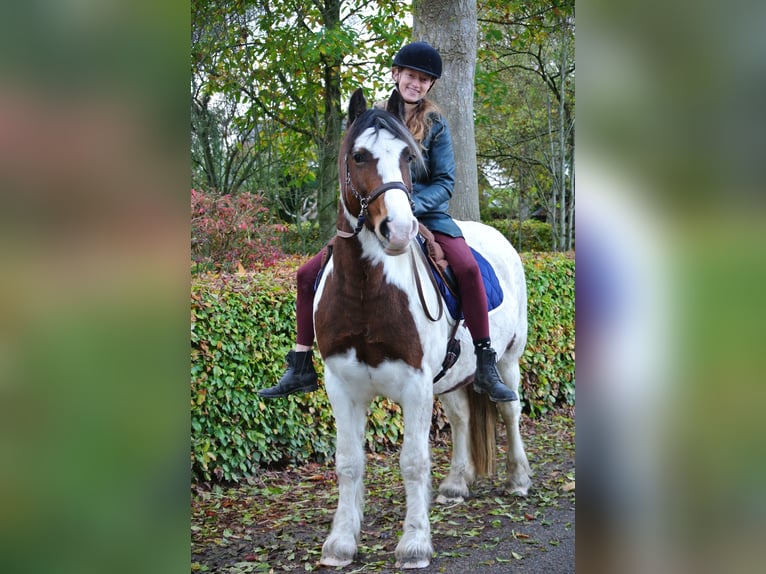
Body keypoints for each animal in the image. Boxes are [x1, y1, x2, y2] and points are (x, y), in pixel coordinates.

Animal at [316, 90, 532, 572]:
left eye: (408, 157)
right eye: (359, 155)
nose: (398, 230)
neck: (366, 291)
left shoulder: (415, 387)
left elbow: (413, 462)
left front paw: (414, 543)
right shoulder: (343, 387)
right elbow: (348, 463)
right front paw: (341, 542)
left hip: (507, 361)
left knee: (509, 411)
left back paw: (519, 479)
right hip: (450, 378)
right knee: (463, 417)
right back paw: (455, 484)